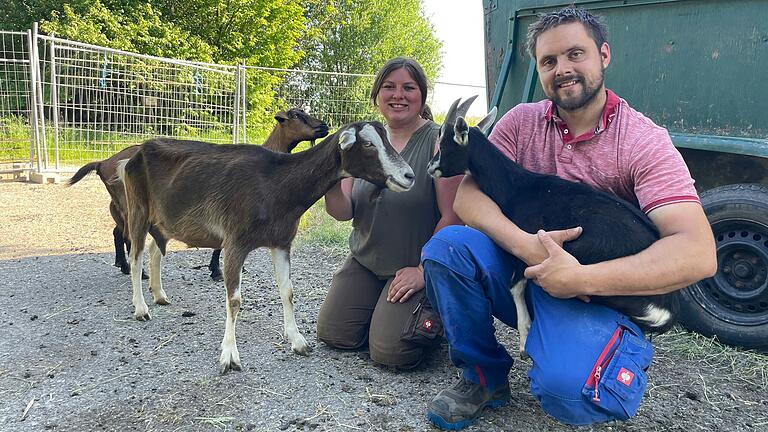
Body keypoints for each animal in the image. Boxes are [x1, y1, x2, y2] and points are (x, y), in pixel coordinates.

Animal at [67, 108, 328, 280]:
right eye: (297, 116)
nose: (324, 126)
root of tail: (103, 163)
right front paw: (217, 270)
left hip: (121, 205)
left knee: (118, 232)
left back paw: (122, 264)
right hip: (130, 204)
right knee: (128, 235)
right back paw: (135, 270)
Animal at [115, 121, 414, 372]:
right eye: (368, 144)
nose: (408, 175)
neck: (274, 184)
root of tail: (135, 154)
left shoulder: (281, 242)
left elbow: (287, 292)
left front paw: (298, 341)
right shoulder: (234, 242)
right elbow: (234, 300)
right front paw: (229, 356)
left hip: (165, 221)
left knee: (155, 250)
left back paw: (159, 295)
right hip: (138, 209)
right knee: (136, 256)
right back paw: (141, 308)